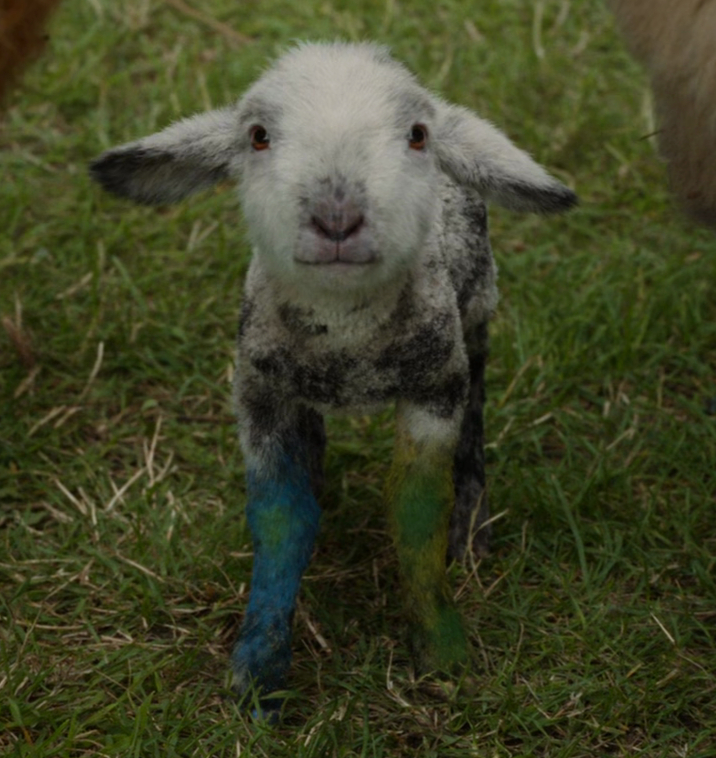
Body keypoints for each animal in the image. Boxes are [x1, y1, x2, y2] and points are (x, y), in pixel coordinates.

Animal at [90, 41, 577, 712]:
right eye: (258, 136)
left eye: (417, 135)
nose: (337, 218)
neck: (347, 339)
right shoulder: (260, 396)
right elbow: (280, 515)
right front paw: (258, 671)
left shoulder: (433, 392)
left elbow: (417, 508)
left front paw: (441, 646)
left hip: (475, 316)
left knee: (476, 407)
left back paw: (471, 525)